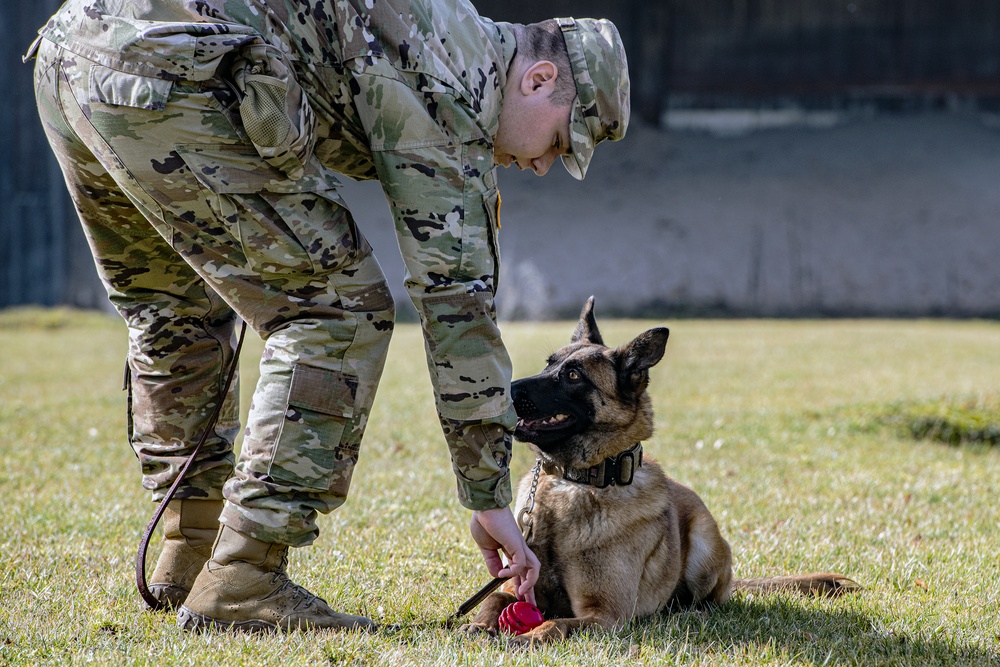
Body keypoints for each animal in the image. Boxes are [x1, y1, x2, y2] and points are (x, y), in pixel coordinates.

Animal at [460, 298, 860, 648]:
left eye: (572, 376)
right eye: (548, 365)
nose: (505, 391)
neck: (574, 482)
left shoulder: (605, 614)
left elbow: (556, 624)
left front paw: (530, 637)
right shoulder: (518, 583)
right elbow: (494, 599)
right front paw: (478, 625)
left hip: (704, 541)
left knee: (712, 600)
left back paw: (686, 611)